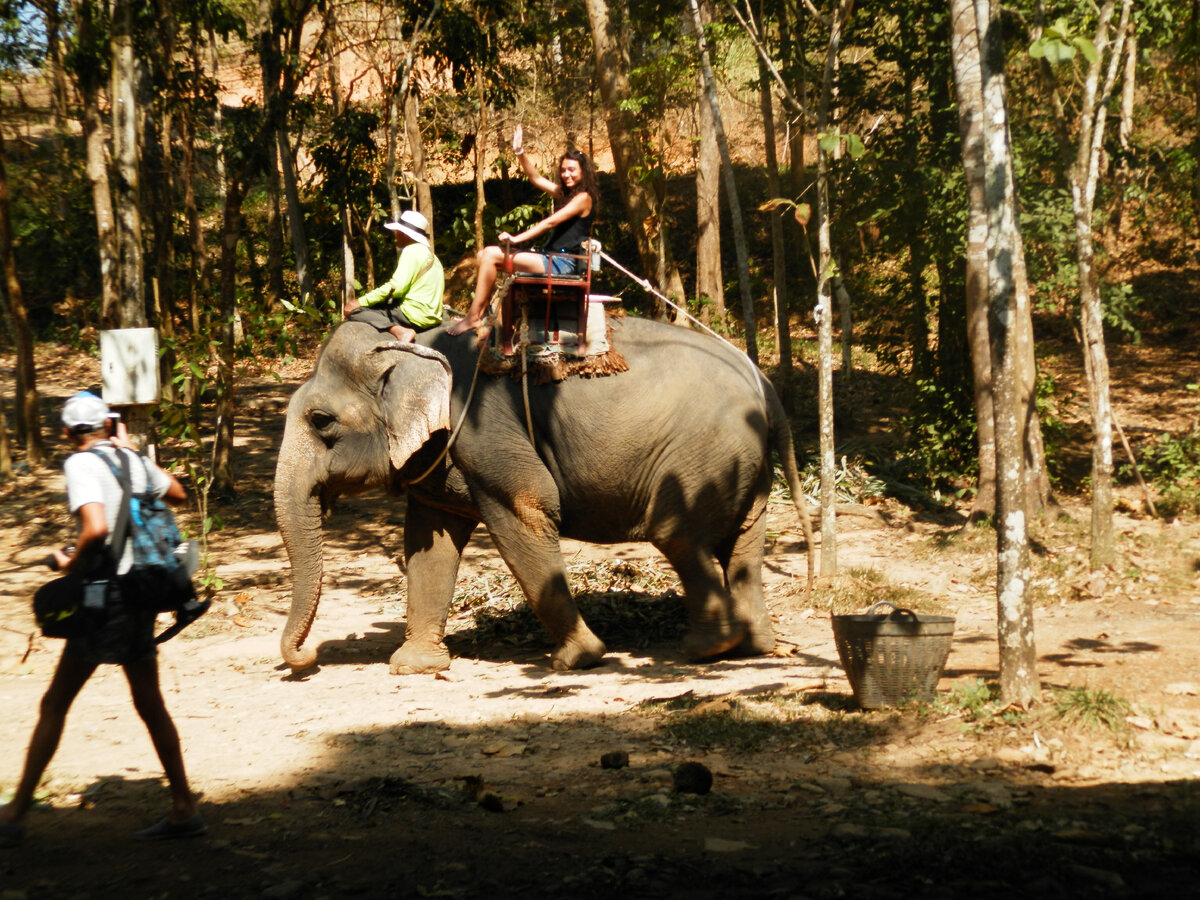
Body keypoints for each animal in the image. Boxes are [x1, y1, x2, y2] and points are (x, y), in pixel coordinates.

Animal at [274, 319, 811, 676]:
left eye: (321, 421)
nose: (310, 658)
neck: (413, 351)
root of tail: (764, 384)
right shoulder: (441, 459)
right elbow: (430, 542)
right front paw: (414, 666)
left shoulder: (485, 434)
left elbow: (530, 510)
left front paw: (577, 658)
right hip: (743, 464)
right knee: (743, 540)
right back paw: (756, 646)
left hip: (702, 454)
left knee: (679, 536)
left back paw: (705, 648)